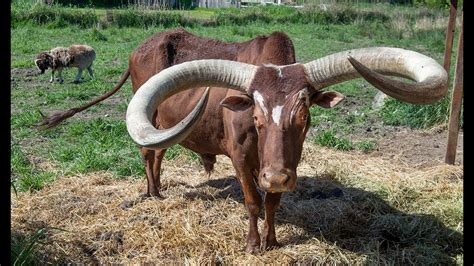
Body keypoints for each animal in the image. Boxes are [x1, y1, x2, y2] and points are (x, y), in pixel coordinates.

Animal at [40, 28, 448, 252]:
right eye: (255, 116)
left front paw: (272, 241)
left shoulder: (279, 165)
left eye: (305, 116)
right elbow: (252, 201)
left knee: (158, 154)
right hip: (152, 118)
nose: (276, 176)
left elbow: (272, 203)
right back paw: (152, 193)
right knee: (148, 154)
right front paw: (253, 245)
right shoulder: (239, 157)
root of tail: (139, 48)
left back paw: (158, 190)